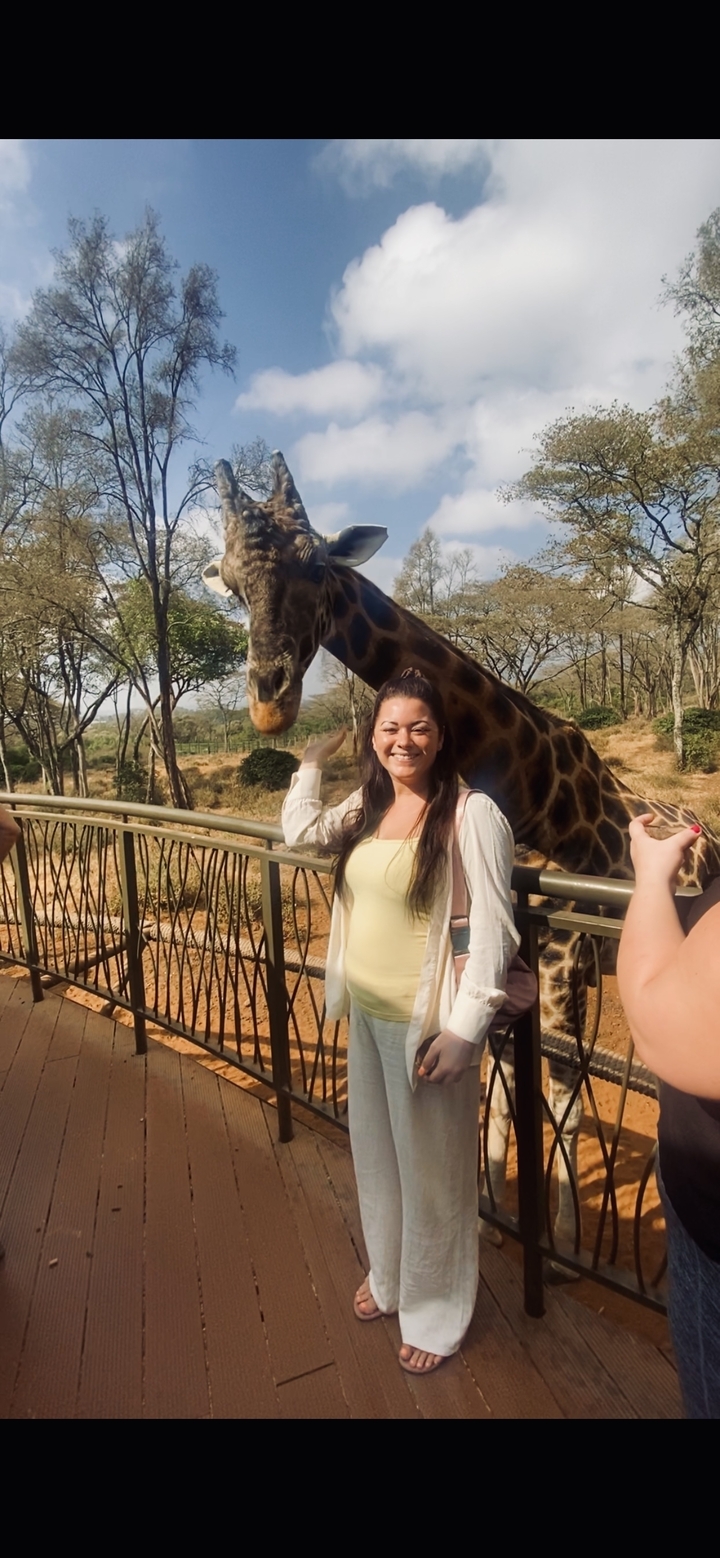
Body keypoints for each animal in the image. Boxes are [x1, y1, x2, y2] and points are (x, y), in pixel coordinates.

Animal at [204, 452, 720, 1249]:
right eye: (230, 581)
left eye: (318, 563)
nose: (269, 702)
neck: (549, 809)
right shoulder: (508, 951)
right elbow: (501, 1077)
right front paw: (494, 1202)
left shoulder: (562, 967)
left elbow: (561, 1097)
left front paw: (562, 1237)